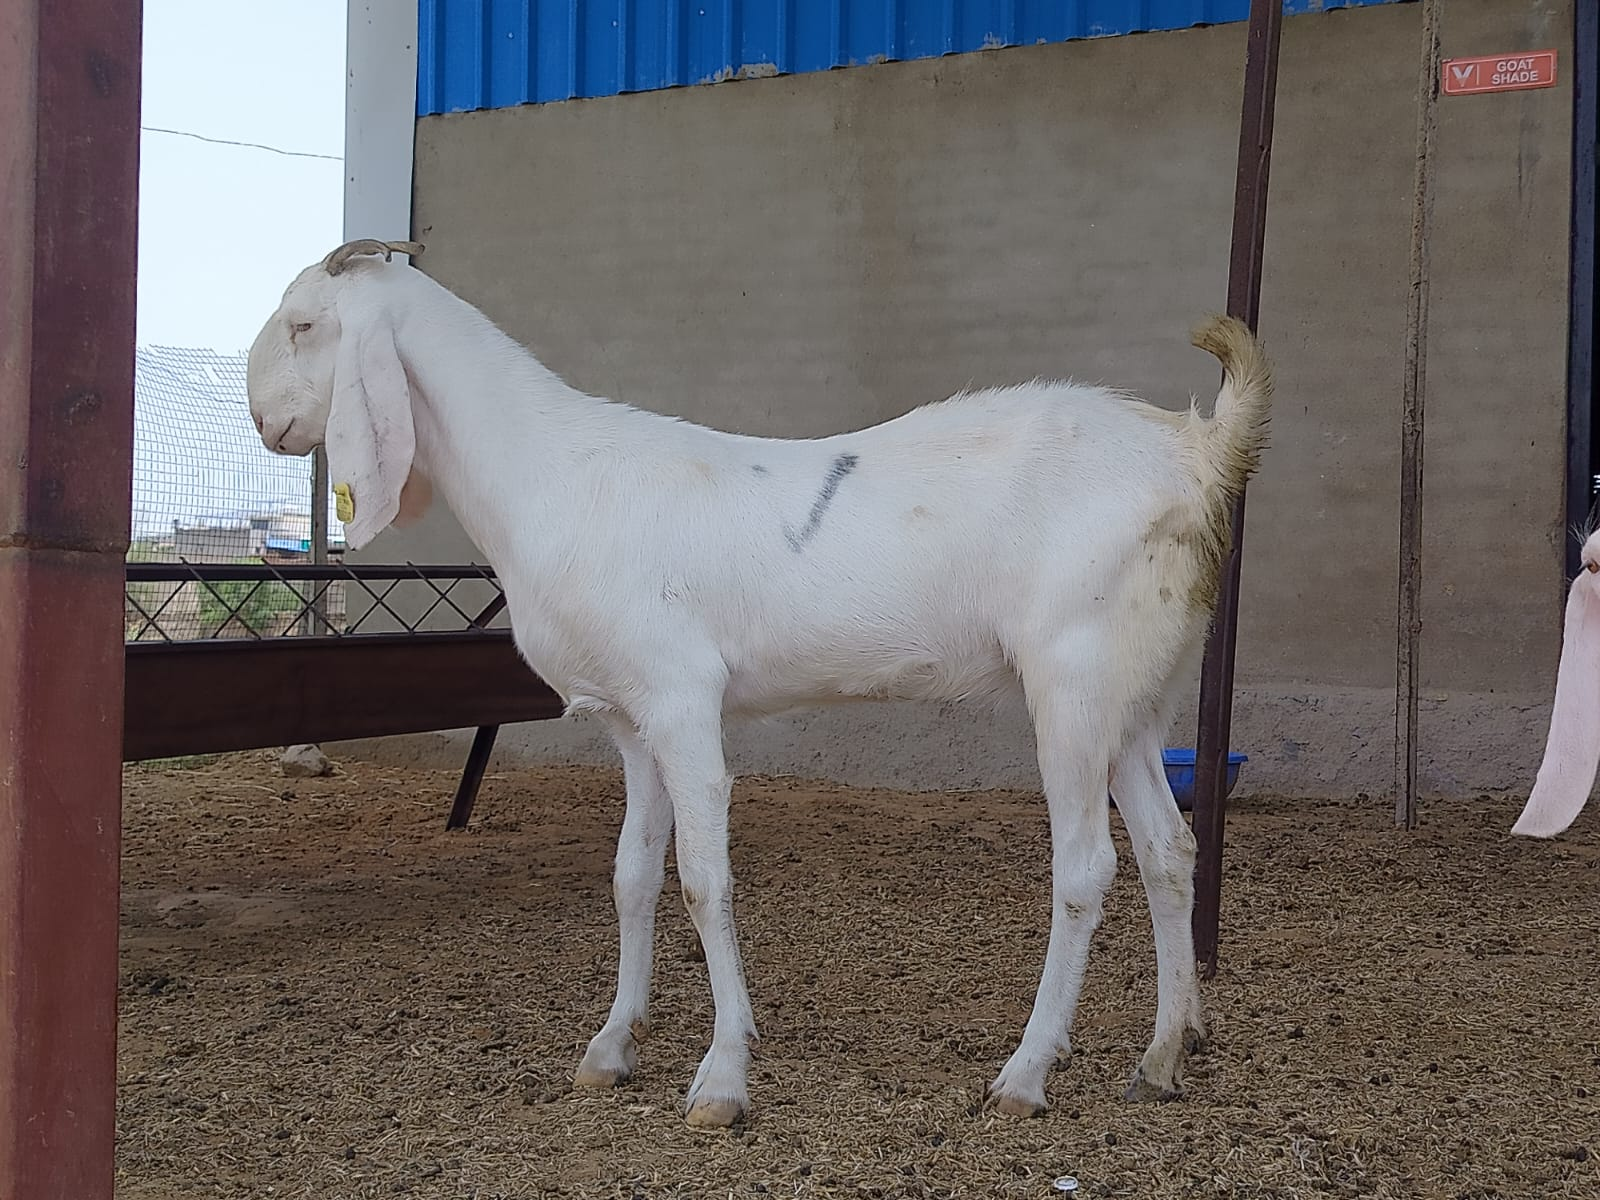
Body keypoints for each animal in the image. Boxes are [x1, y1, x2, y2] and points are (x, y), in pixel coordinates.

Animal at [247, 238, 1274, 1128]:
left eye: (304, 324)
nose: (262, 420)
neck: (554, 475)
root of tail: (1197, 450)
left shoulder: (682, 698)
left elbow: (704, 880)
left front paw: (722, 1075)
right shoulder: (631, 719)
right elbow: (631, 876)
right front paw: (612, 1046)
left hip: (1072, 678)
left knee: (1087, 866)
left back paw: (1027, 1073)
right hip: (1137, 693)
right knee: (1169, 849)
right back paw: (1165, 1053)